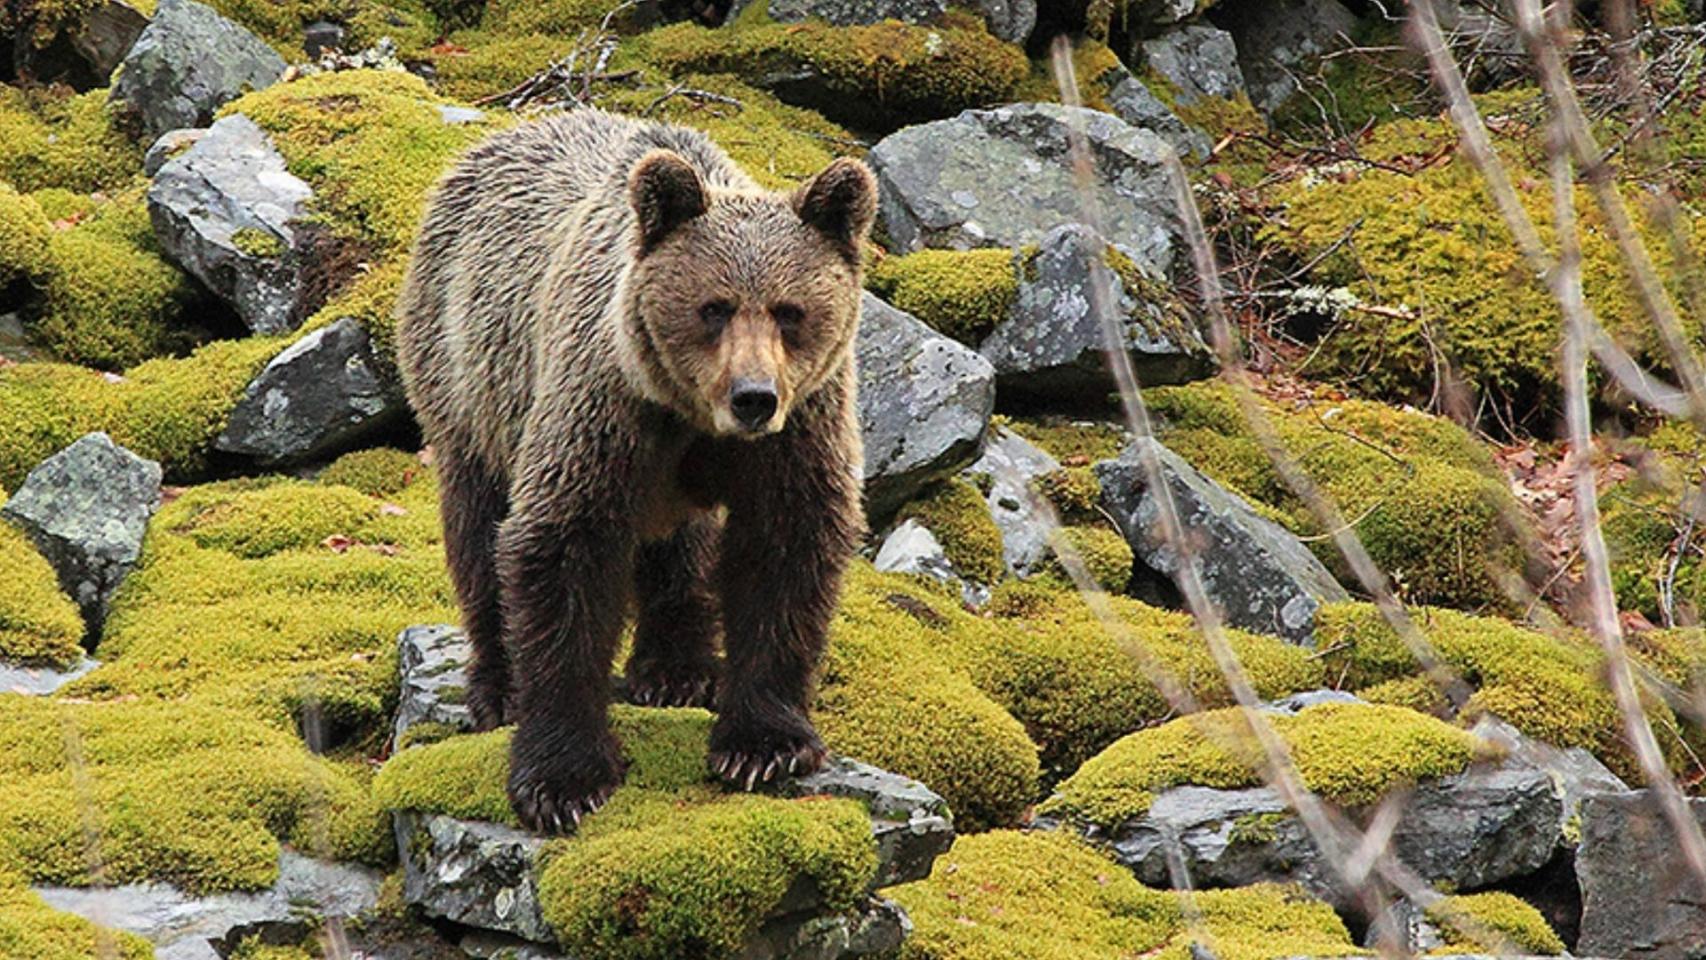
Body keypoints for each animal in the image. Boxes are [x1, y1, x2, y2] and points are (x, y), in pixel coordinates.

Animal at [395, 108, 876, 833]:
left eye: (790, 311)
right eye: (714, 306)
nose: (754, 397)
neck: (692, 417)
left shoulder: (798, 431)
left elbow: (784, 556)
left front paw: (763, 744)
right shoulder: (603, 410)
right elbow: (561, 553)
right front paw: (562, 778)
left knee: (684, 546)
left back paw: (677, 667)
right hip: (466, 375)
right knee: (477, 527)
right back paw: (497, 684)